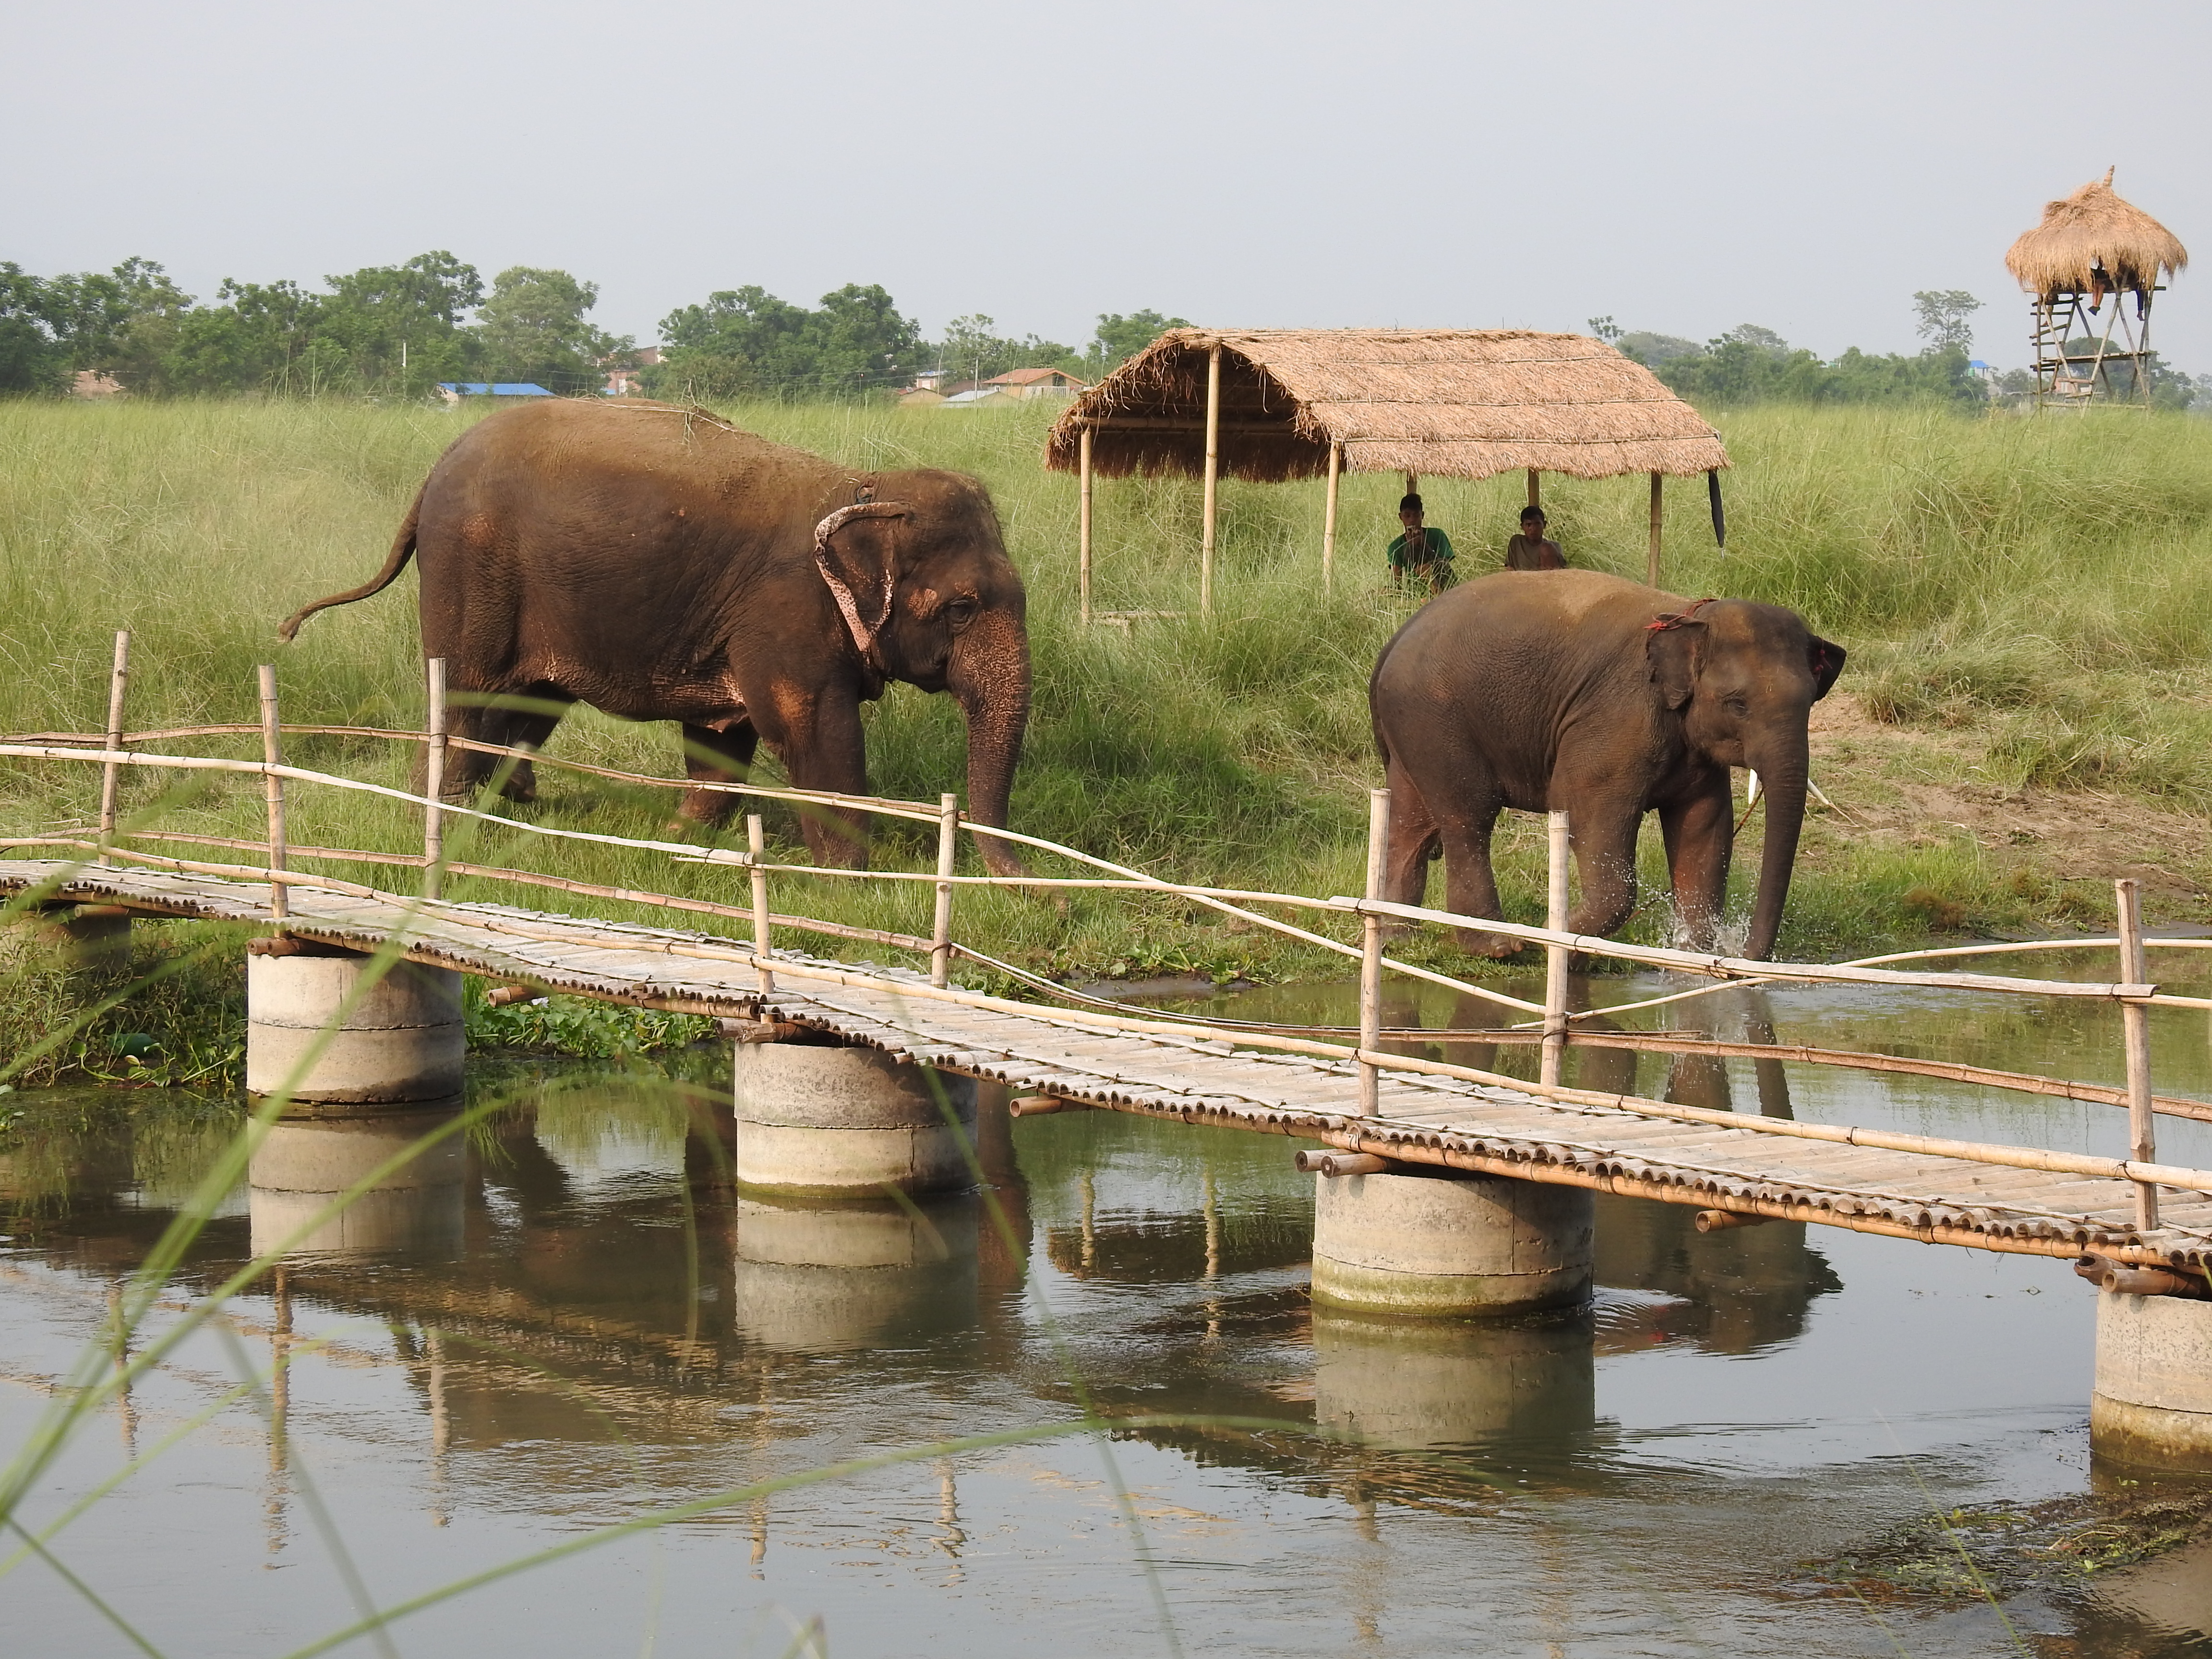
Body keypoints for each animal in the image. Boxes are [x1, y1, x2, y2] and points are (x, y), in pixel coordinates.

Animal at [279, 399, 1031, 874]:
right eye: (962, 609)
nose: (1023, 884)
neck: (861, 488)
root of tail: (434, 470)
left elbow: (725, 735)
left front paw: (682, 841)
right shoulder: (785, 611)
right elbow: (811, 726)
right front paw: (849, 881)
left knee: (526, 704)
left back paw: (512, 805)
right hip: (471, 569)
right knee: (467, 693)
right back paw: (446, 817)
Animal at [1368, 570, 1844, 961]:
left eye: (1810, 702)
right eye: (1738, 704)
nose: (1745, 954)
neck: (1689, 616)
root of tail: (1395, 639)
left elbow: (1704, 828)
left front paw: (1690, 958)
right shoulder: (1618, 719)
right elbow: (1584, 808)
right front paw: (1555, 939)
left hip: (1414, 726)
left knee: (1412, 823)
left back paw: (1396, 937)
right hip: (1435, 716)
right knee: (1469, 816)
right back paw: (1498, 948)